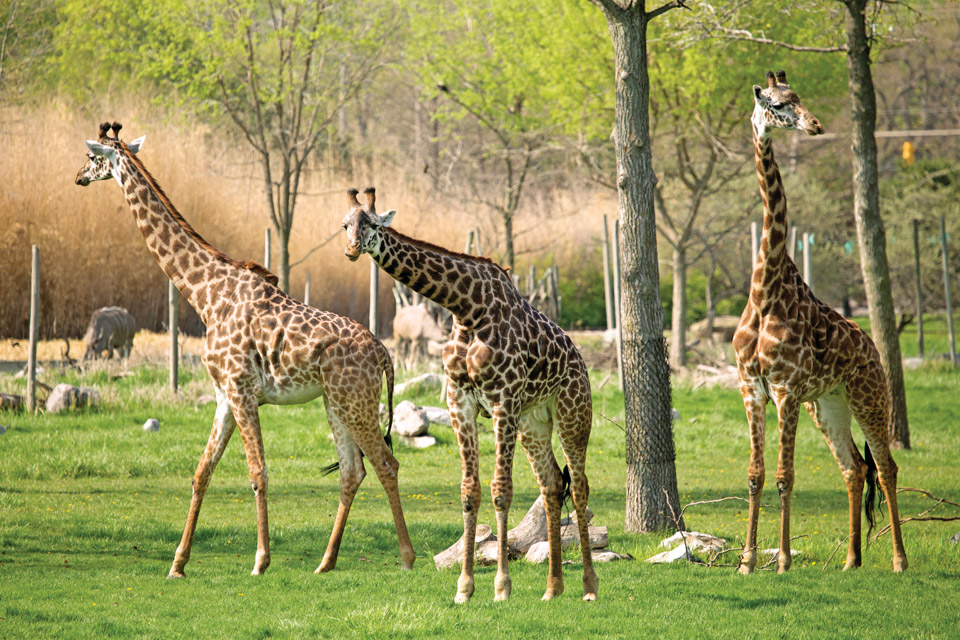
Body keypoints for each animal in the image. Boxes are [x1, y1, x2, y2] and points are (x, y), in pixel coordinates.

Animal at [76, 122, 416, 576]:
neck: (204, 295)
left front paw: (260, 561)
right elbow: (202, 472)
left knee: (385, 463)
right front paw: (178, 563)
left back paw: (407, 558)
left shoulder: (242, 390)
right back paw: (325, 563)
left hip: (354, 401)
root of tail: (383, 353)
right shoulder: (224, 394)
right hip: (337, 401)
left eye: (92, 157)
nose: (78, 177)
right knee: (352, 470)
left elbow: (258, 472)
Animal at [342, 188, 596, 604]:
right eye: (345, 224)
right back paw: (553, 588)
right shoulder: (459, 402)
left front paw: (502, 587)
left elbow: (500, 491)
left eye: (374, 225)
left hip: (573, 413)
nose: (351, 250)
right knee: (551, 485)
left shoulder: (502, 401)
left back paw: (589, 586)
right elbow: (469, 490)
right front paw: (464, 588)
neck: (466, 308)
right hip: (534, 422)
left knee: (580, 486)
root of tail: (581, 363)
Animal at [736, 74, 908, 576]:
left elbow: (784, 476)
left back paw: (898, 560)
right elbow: (755, 475)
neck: (765, 290)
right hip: (827, 404)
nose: (815, 125)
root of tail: (872, 348)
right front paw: (747, 561)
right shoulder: (751, 388)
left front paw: (783, 560)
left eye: (799, 98)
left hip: (869, 396)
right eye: (777, 105)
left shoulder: (785, 389)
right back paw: (851, 560)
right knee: (853, 466)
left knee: (886, 467)